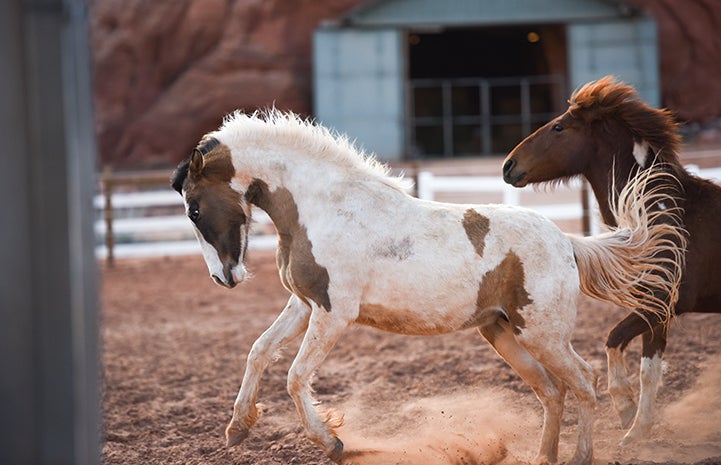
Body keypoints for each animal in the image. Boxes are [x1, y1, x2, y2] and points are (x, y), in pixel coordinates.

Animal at [172, 110, 684, 464]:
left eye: (194, 208)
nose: (224, 277)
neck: (323, 208)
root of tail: (567, 242)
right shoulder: (304, 304)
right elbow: (259, 351)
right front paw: (237, 428)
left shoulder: (333, 314)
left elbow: (296, 376)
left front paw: (333, 442)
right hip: (502, 332)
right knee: (550, 391)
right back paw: (543, 457)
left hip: (543, 334)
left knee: (583, 381)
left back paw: (581, 455)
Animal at [500, 77, 720, 446]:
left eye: (559, 127)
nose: (508, 165)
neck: (661, 214)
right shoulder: (656, 309)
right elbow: (634, 358)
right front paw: (632, 417)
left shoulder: (662, 305)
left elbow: (626, 351)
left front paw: (631, 423)